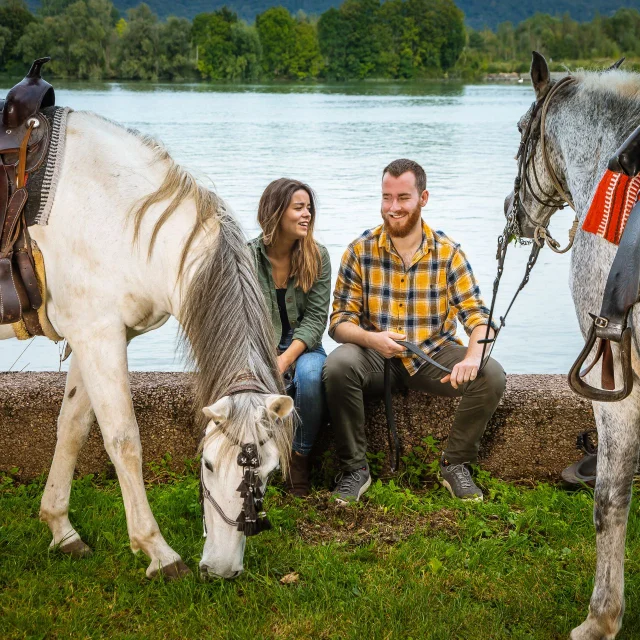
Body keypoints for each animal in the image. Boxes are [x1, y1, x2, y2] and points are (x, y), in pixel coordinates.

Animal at [0, 110, 292, 580]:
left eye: (270, 472)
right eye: (207, 464)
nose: (222, 570)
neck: (118, 214)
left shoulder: (97, 334)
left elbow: (73, 428)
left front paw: (61, 529)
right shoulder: (98, 335)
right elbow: (123, 440)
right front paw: (157, 550)